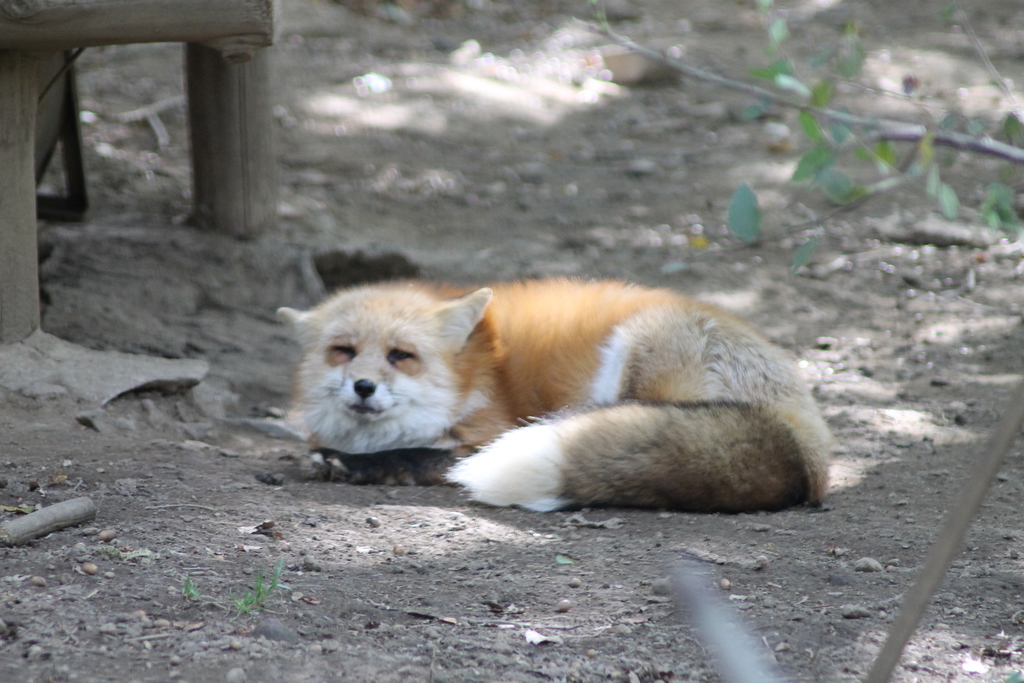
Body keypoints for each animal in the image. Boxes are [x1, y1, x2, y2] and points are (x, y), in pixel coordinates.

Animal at [277, 278, 833, 513]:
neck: (471, 370)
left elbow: (414, 455)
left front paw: (349, 464)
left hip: (636, 352)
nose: (363, 386)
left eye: (400, 355)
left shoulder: (487, 431)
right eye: (343, 352)